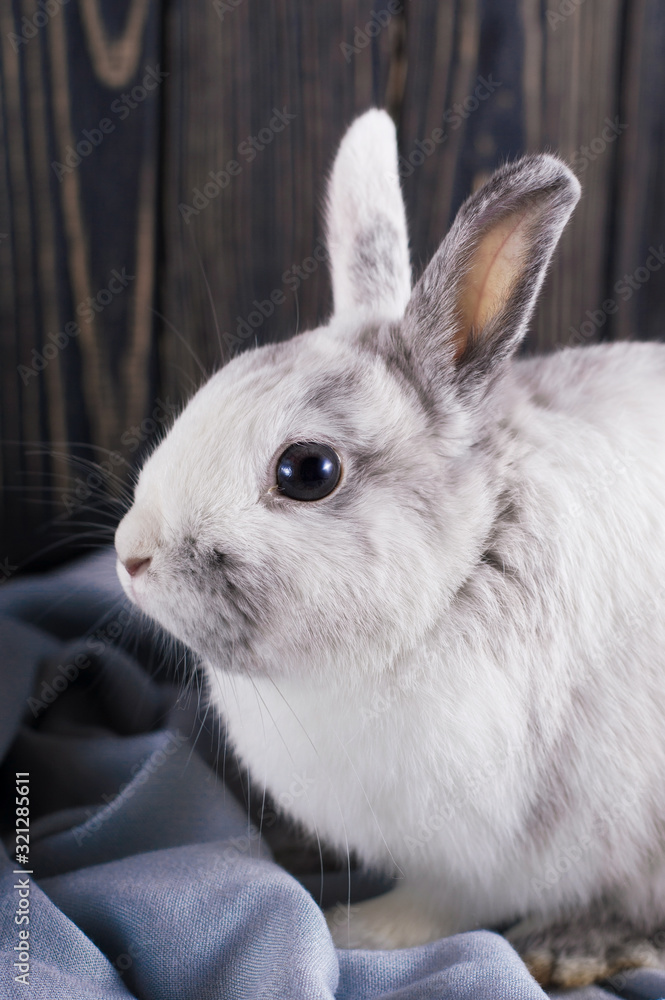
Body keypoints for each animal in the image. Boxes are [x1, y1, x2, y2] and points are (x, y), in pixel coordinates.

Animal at [114, 109, 665, 988]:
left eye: (308, 471)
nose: (130, 556)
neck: (462, 572)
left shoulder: (487, 855)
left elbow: (438, 909)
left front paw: (358, 931)